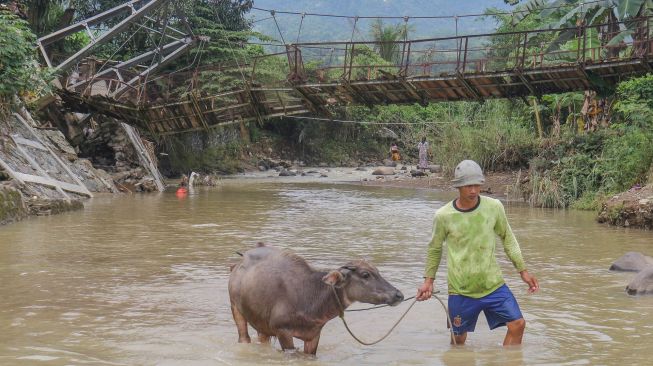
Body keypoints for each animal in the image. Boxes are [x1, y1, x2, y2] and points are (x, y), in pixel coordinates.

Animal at [228, 244, 402, 354]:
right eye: (365, 274)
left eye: (378, 272)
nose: (398, 294)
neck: (310, 296)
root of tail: (240, 261)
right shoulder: (283, 332)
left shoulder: (314, 336)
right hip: (235, 308)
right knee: (244, 337)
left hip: (262, 324)